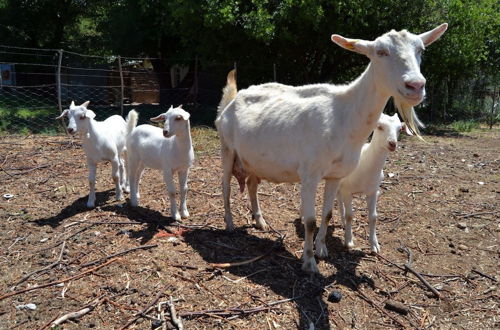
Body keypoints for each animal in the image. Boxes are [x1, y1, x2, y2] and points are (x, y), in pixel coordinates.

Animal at [215, 23, 450, 274]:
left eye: (421, 50)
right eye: (380, 52)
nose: (415, 86)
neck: (344, 117)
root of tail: (229, 103)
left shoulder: (336, 176)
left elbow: (327, 215)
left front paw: (321, 250)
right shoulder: (309, 174)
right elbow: (309, 222)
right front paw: (309, 262)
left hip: (253, 160)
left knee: (251, 184)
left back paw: (260, 222)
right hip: (227, 148)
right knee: (225, 186)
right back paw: (229, 223)